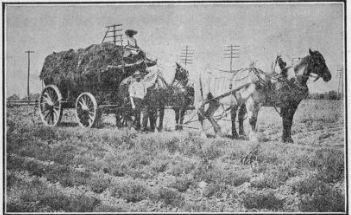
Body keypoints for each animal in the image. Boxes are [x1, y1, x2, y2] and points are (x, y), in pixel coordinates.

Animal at [199, 49, 332, 143]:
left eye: (324, 60)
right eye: (318, 61)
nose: (328, 76)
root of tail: (203, 72)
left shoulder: (289, 104)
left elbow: (287, 121)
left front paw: (287, 139)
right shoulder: (253, 102)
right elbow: (253, 120)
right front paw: (254, 138)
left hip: (215, 101)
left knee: (209, 114)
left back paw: (220, 132)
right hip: (205, 98)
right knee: (202, 114)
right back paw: (204, 135)